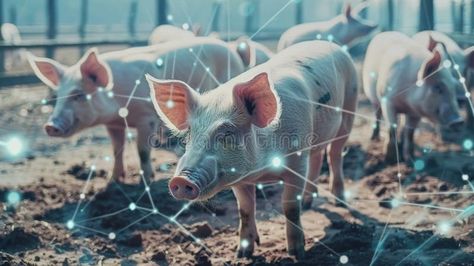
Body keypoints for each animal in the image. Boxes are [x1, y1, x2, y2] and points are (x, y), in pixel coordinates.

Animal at [27, 38, 244, 185]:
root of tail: (231, 49)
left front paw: (146, 181)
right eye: (58, 95)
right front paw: (113, 180)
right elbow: (116, 149)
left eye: (79, 95)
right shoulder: (113, 124)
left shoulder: (147, 118)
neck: (119, 108)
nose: (50, 126)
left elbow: (142, 151)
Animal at [146, 40, 358, 258]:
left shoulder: (298, 162)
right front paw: (242, 254)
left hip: (350, 108)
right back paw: (308, 202)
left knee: (334, 154)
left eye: (227, 133)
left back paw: (340, 201)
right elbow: (245, 210)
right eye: (190, 133)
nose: (181, 180)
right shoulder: (239, 178)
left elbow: (290, 207)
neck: (262, 172)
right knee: (317, 157)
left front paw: (297, 253)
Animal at [362, 31, 462, 164]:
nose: (459, 121)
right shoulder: (387, 101)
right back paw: (374, 138)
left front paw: (411, 160)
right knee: (377, 114)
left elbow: (410, 133)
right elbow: (391, 128)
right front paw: (390, 160)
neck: (406, 100)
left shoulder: (416, 112)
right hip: (373, 97)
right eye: (438, 87)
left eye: (454, 87)